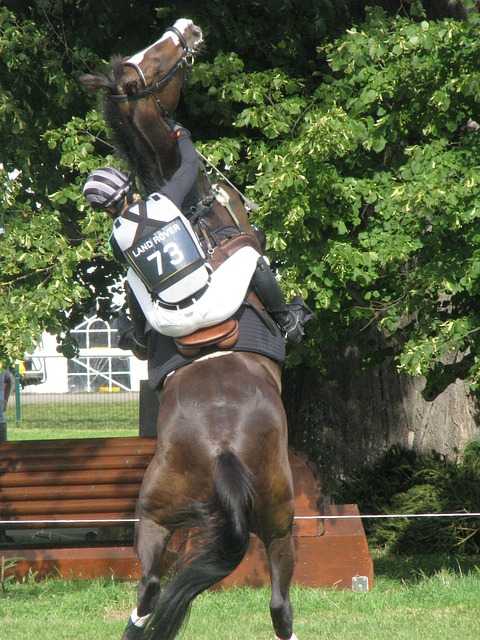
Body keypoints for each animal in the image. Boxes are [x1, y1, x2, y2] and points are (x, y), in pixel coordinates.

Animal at [79, 18, 296, 640]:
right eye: (155, 61)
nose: (187, 28)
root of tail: (221, 446)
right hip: (279, 519)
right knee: (279, 604)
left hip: (155, 519)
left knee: (148, 592)